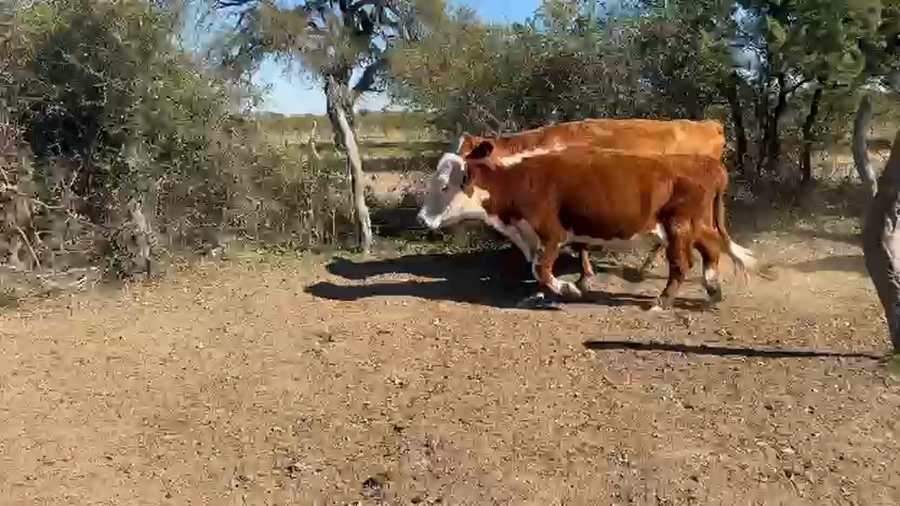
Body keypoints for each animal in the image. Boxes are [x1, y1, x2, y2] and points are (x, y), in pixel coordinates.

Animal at [418, 141, 756, 310]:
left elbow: (541, 269)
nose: (422, 218)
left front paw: (567, 288)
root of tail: (708, 163)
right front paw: (540, 295)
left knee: (682, 264)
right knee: (711, 249)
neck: (518, 181)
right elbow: (536, 270)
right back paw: (712, 288)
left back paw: (663, 301)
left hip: (678, 225)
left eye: (445, 186)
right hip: (694, 225)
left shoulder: (551, 233)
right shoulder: (531, 237)